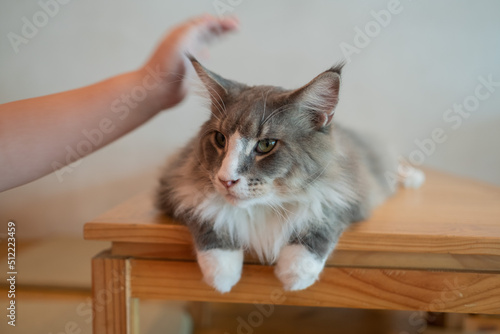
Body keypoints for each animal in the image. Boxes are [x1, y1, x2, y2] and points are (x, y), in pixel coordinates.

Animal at [155, 56, 422, 294]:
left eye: (266, 145)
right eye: (220, 139)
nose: (225, 179)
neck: (265, 207)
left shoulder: (349, 194)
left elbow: (319, 222)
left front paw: (295, 274)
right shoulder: (176, 186)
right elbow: (211, 220)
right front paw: (222, 275)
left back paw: (414, 177)